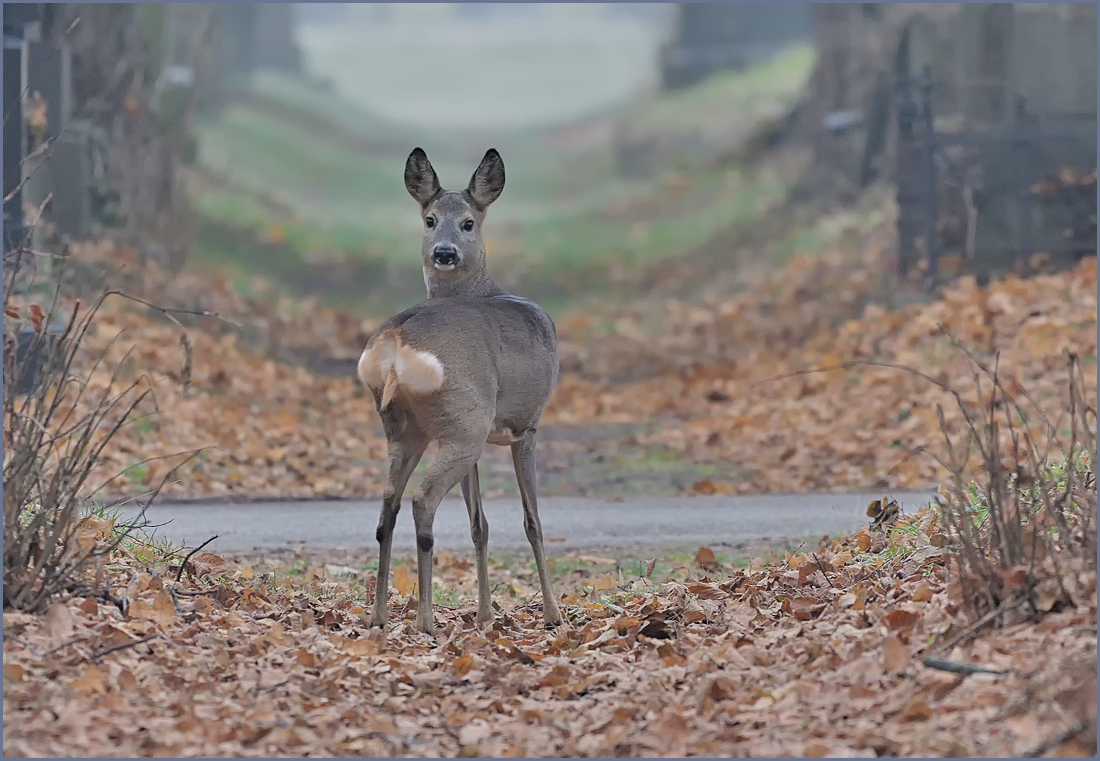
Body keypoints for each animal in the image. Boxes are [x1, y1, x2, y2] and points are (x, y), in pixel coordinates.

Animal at [360, 145, 563, 633]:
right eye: (430, 219)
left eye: (468, 222)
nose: (445, 252)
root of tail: (396, 339)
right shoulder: (526, 425)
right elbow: (532, 520)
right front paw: (552, 614)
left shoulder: (481, 433)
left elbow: (479, 524)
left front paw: (486, 615)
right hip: (464, 423)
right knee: (422, 500)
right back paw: (424, 620)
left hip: (411, 427)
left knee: (388, 504)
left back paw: (378, 615)